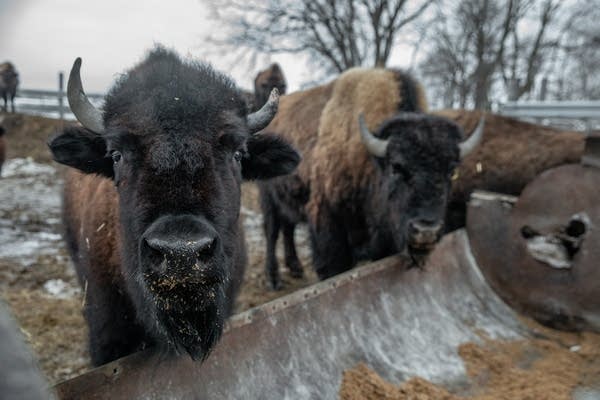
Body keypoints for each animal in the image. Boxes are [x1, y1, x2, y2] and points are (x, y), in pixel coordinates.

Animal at [258, 68, 482, 288]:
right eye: (396, 167)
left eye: (451, 171)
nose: (426, 231)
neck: (369, 160)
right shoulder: (328, 223)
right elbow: (333, 266)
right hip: (268, 198)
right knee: (272, 231)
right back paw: (273, 279)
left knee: (288, 228)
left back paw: (296, 269)